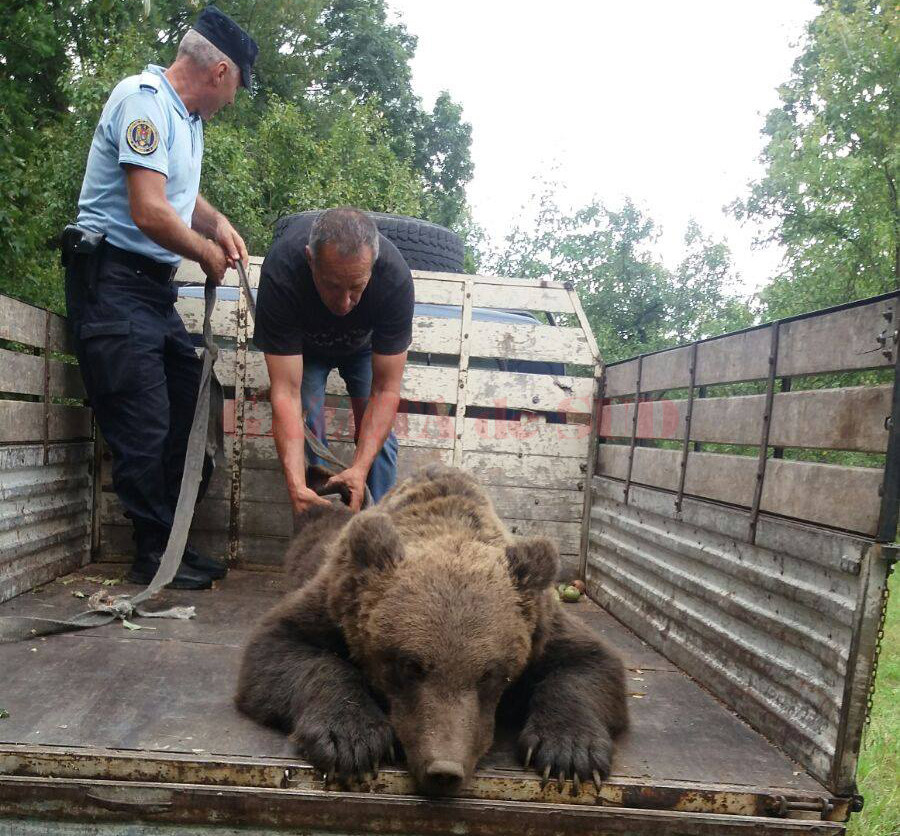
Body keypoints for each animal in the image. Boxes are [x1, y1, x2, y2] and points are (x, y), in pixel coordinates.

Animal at [234, 464, 624, 796]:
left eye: (490, 674)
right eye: (410, 665)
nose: (444, 771)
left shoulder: (543, 627)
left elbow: (589, 662)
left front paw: (569, 753)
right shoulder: (332, 604)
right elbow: (278, 649)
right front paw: (351, 739)